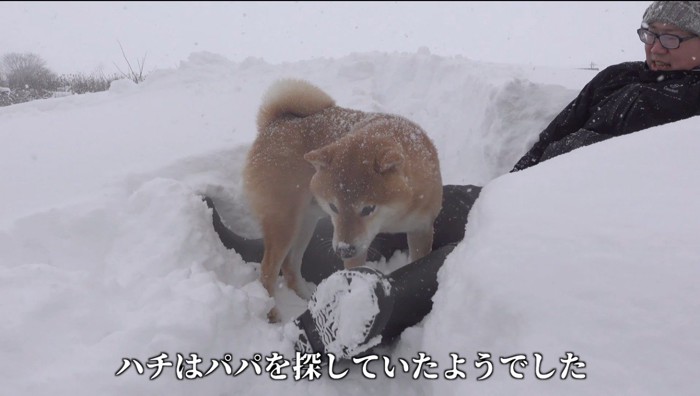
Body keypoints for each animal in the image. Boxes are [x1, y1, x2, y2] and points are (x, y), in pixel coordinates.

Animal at [243, 78, 440, 322]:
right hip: (284, 222)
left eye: (368, 208)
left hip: (306, 221)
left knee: (289, 267)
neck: (395, 215)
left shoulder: (421, 229)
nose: (343, 250)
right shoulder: (357, 249)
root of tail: (275, 122)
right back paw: (273, 315)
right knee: (268, 271)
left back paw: (307, 299)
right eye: (334, 207)